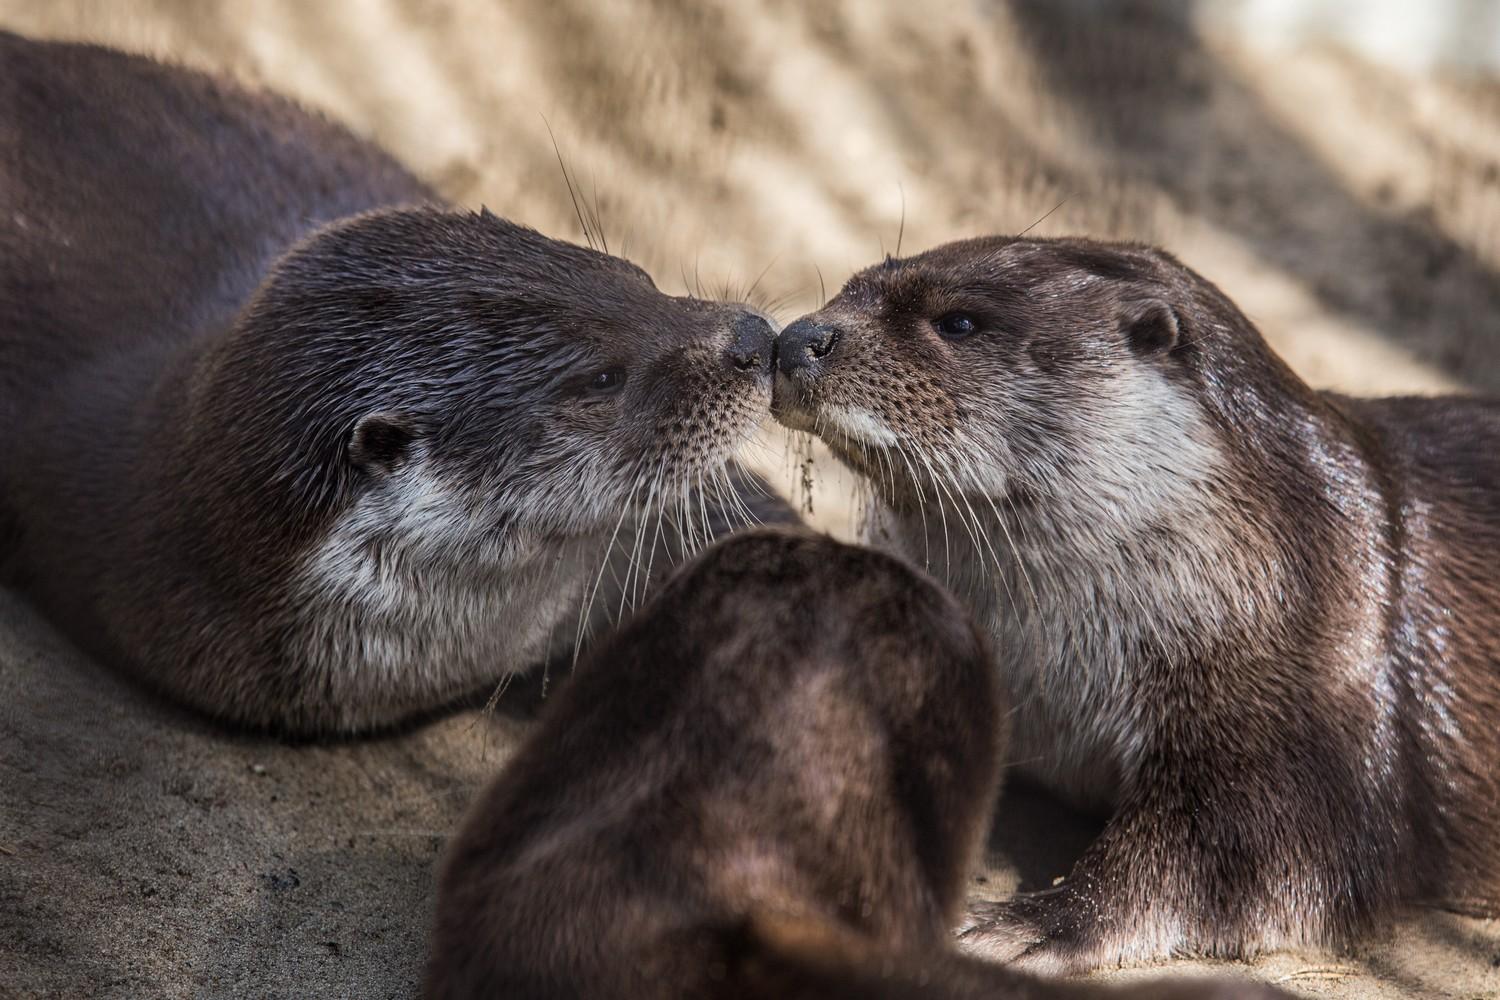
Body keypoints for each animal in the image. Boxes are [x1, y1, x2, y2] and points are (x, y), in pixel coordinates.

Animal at [768, 235, 1500, 971]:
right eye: (852, 286)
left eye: (959, 322)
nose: (798, 338)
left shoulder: (1313, 694)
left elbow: (1255, 851)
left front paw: (1037, 921)